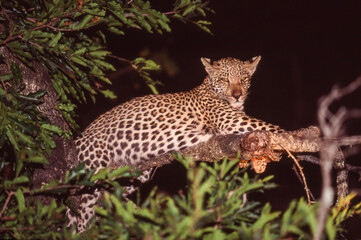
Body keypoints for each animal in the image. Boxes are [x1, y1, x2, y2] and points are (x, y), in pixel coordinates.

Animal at [65, 55, 284, 232]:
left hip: (137, 173)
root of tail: (78, 140)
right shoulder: (234, 122)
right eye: (224, 79)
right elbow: (273, 128)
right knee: (83, 214)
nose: (237, 95)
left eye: (244, 79)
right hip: (93, 169)